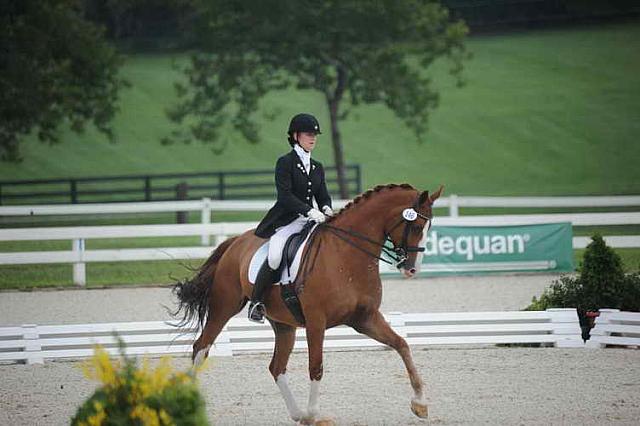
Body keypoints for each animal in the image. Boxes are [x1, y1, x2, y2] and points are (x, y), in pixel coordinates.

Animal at [175, 182, 444, 422]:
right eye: (416, 226)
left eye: (429, 227)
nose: (411, 269)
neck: (346, 256)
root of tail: (235, 241)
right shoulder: (316, 321)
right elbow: (316, 367)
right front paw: (315, 414)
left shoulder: (365, 318)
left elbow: (402, 345)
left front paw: (420, 404)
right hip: (224, 306)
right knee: (201, 347)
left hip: (283, 324)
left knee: (276, 367)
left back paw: (298, 415)